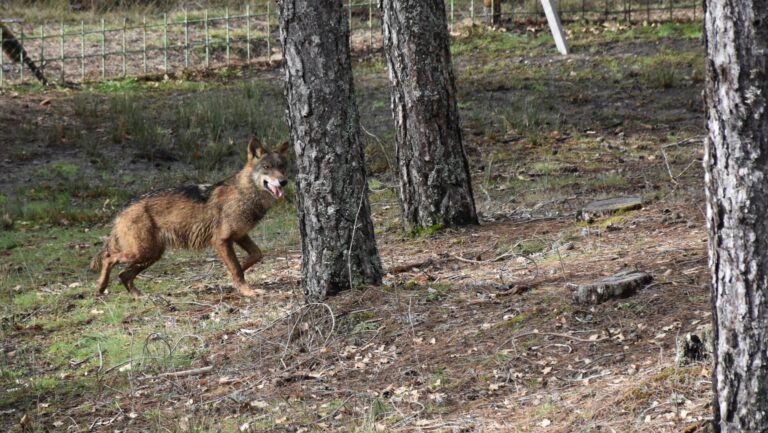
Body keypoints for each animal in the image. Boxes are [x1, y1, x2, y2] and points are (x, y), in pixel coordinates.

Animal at [91, 138, 290, 296]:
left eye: (282, 167)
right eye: (267, 167)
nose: (284, 181)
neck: (245, 194)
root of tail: (123, 209)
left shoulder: (240, 236)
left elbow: (255, 255)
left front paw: (236, 271)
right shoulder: (221, 240)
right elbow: (236, 270)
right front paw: (247, 291)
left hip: (151, 255)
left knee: (123, 275)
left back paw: (139, 297)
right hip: (143, 252)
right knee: (109, 258)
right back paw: (101, 287)